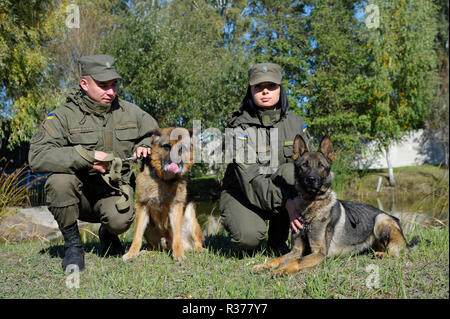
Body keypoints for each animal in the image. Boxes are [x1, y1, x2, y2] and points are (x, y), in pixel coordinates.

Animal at [125, 129, 206, 264]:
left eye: (181, 148)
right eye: (167, 147)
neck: (164, 179)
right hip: (149, 227)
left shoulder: (176, 207)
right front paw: (131, 253)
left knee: (196, 242)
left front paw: (178, 255)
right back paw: (148, 252)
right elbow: (137, 236)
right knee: (157, 247)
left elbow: (177, 236)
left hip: (190, 215)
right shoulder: (142, 206)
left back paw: (199, 250)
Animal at [253, 135, 418, 276]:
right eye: (304, 165)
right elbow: (279, 258)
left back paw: (381, 254)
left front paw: (283, 269)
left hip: (380, 220)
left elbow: (297, 261)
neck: (311, 207)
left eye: (321, 166)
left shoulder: (318, 253)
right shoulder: (297, 249)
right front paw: (264, 265)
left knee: (396, 253)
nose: (311, 179)